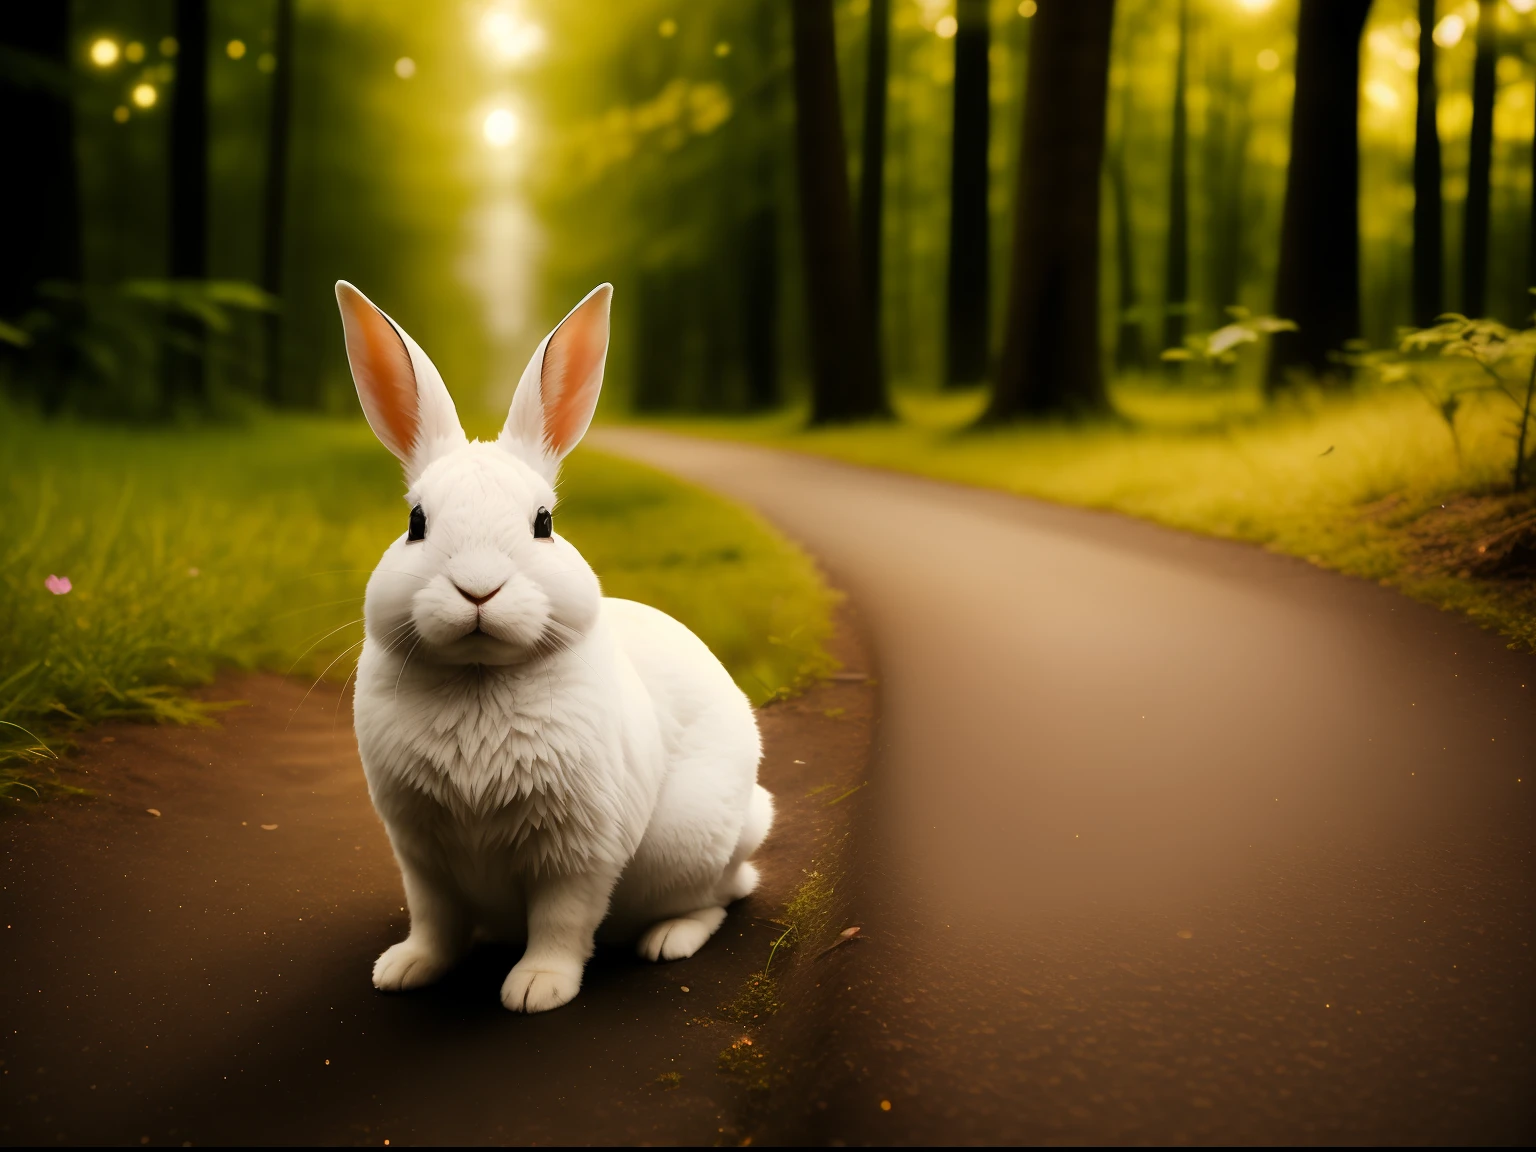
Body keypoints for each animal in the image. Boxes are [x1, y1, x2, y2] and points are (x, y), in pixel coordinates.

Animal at [333, 284, 768, 1013]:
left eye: (544, 523)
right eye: (416, 522)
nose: (478, 588)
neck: (480, 678)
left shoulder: (579, 849)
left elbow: (563, 921)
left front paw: (536, 990)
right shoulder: (421, 853)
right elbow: (434, 919)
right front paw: (405, 969)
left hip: (688, 848)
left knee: (720, 898)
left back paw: (667, 941)